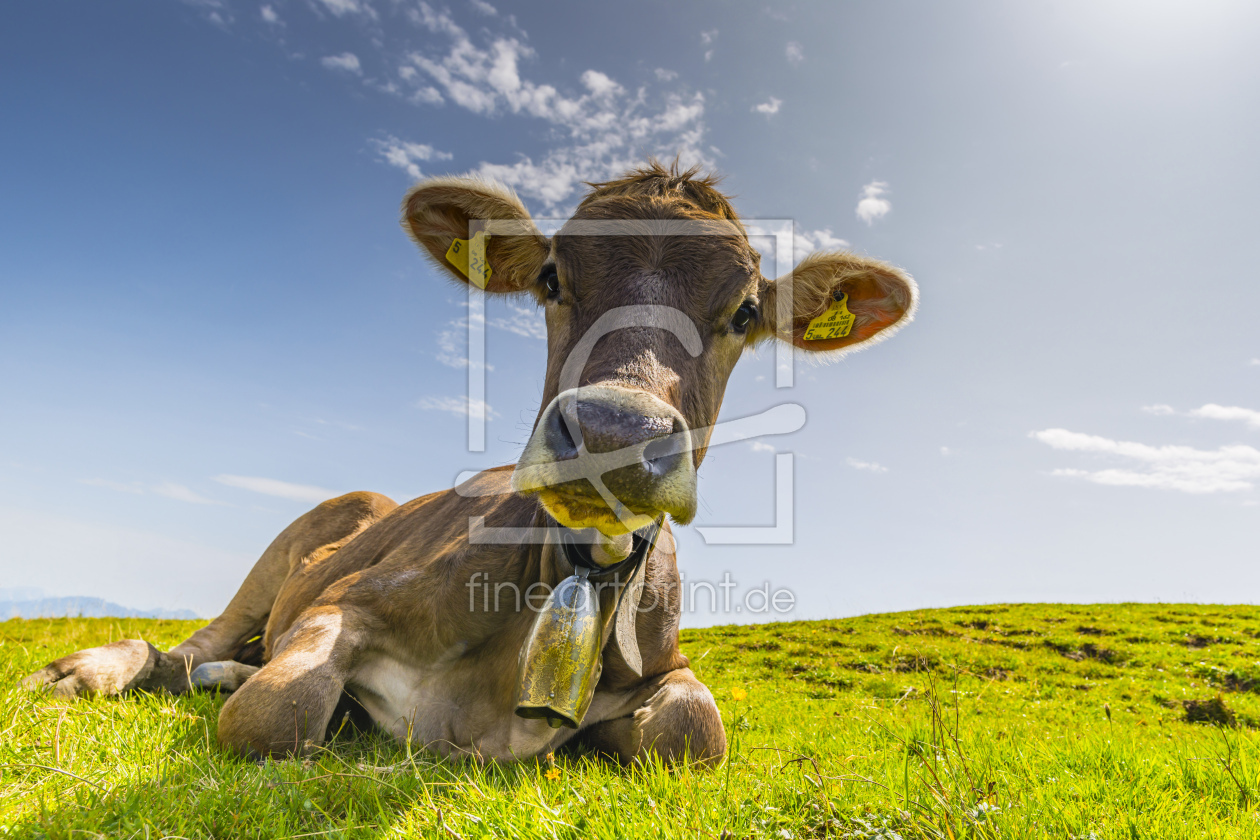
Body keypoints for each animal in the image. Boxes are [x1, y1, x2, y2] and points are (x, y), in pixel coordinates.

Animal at [19, 161, 917, 765]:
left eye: (743, 312)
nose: (611, 430)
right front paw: (256, 693)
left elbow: (695, 732)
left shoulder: (671, 667)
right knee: (186, 650)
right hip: (302, 536)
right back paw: (89, 671)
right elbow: (275, 711)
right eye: (551, 278)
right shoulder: (348, 598)